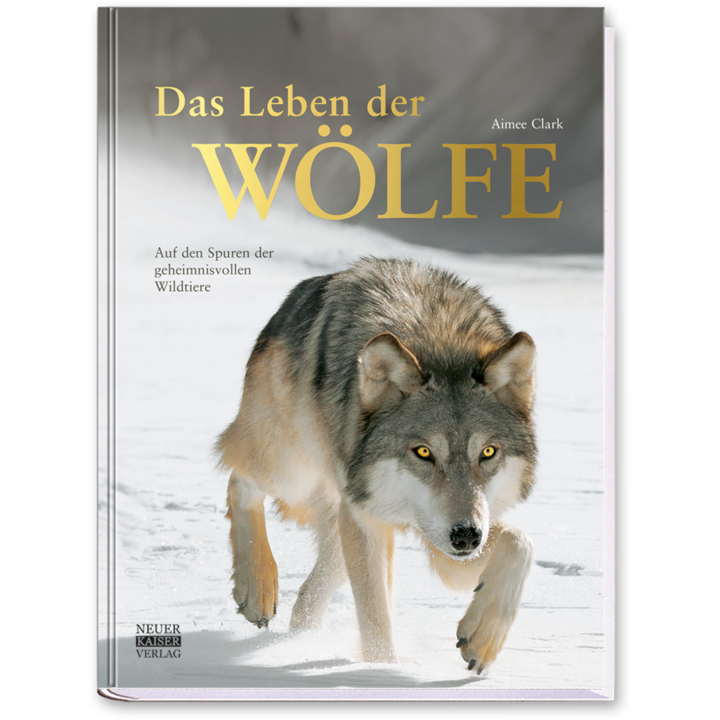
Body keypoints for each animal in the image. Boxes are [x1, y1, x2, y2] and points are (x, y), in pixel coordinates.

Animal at [216, 257, 536, 673]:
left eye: (488, 452)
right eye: (423, 452)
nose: (466, 536)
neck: (438, 339)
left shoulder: (443, 539)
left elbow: (520, 543)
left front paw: (483, 638)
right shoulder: (371, 518)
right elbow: (375, 617)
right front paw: (381, 671)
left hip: (348, 513)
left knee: (314, 588)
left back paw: (300, 638)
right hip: (292, 471)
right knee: (239, 479)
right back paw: (257, 589)